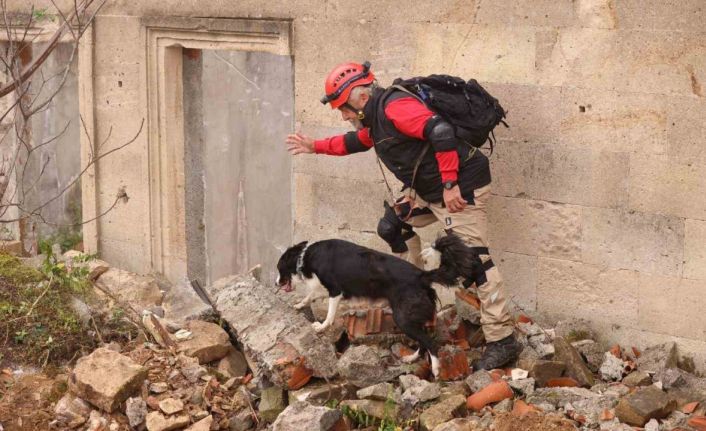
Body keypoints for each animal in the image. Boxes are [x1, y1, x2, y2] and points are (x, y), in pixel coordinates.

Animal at [276, 233, 484, 378]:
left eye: (278, 268)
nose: (276, 282)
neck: (305, 256)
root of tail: (421, 275)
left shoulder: (335, 290)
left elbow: (329, 313)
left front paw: (321, 326)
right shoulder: (326, 289)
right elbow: (310, 295)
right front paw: (298, 304)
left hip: (403, 318)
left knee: (430, 342)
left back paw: (436, 369)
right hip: (411, 317)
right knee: (424, 339)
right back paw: (412, 358)